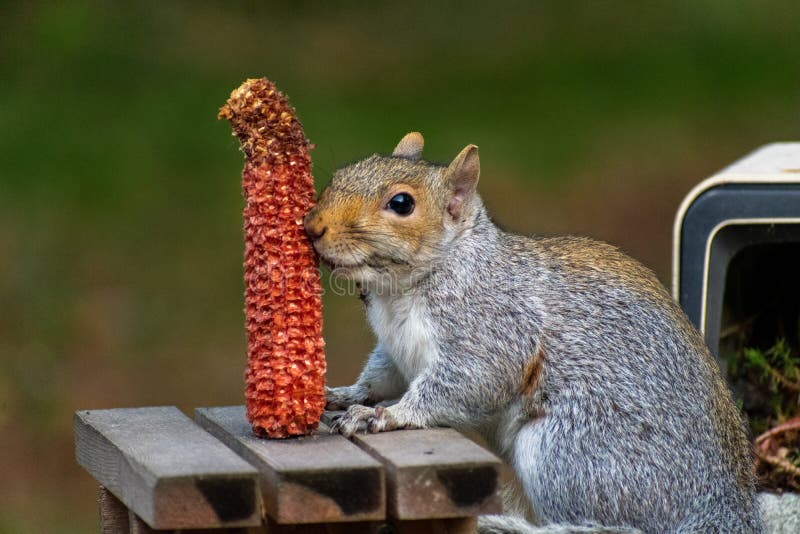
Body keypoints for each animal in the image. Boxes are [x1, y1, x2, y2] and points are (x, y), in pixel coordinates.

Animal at [303, 132, 763, 533]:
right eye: (343, 172)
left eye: (401, 203)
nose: (313, 226)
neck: (399, 291)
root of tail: (725, 508)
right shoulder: (395, 350)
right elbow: (381, 377)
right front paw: (345, 395)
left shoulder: (493, 329)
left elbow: (465, 383)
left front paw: (387, 415)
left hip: (568, 453)